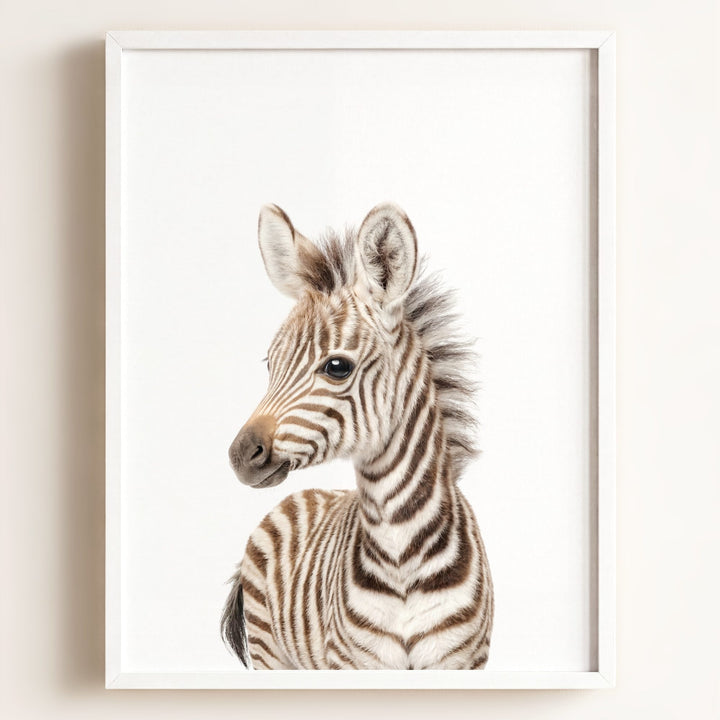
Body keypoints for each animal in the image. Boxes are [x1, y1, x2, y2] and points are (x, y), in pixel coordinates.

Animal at [222, 203, 493, 670]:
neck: (401, 553)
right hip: (270, 651)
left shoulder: (462, 662)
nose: (240, 454)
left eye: (337, 367)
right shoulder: (353, 663)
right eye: (270, 363)